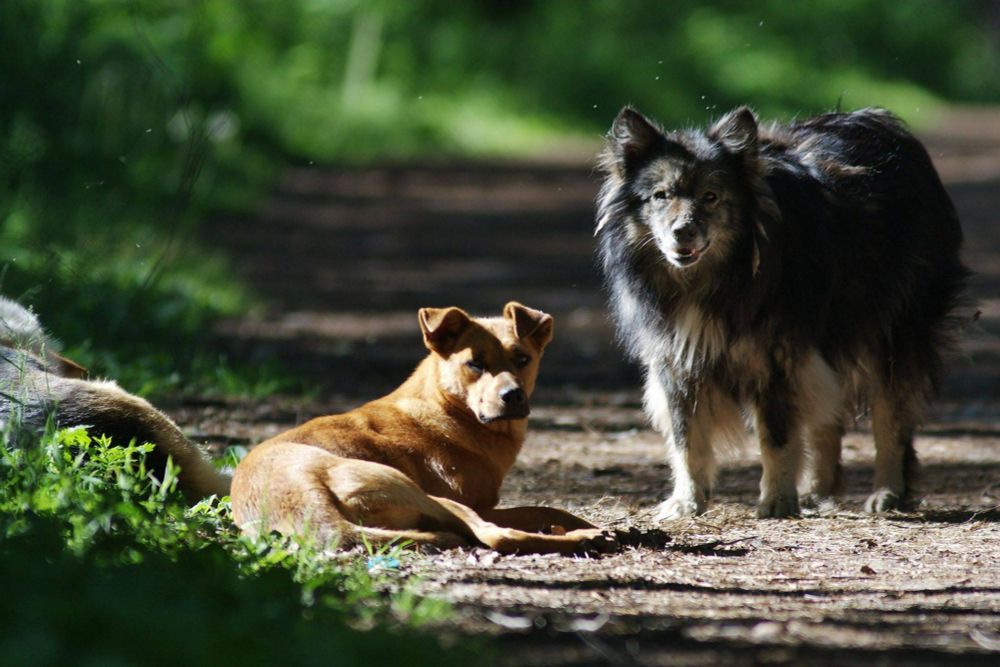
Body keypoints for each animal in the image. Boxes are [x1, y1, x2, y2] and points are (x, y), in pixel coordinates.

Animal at [231, 302, 612, 552]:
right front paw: (590, 528)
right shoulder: (478, 504)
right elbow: (542, 509)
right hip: (418, 491)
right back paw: (582, 539)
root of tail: (309, 507)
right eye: (474, 364)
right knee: (495, 536)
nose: (512, 396)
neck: (450, 410)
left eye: (522, 359)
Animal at [592, 105, 968, 520]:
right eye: (661, 195)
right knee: (828, 419)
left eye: (711, 197)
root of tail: (886, 124)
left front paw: (776, 501)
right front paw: (687, 502)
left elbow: (777, 437)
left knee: (891, 420)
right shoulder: (677, 360)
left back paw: (887, 493)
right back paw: (817, 490)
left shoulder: (776, 360)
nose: (682, 232)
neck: (714, 279)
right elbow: (686, 438)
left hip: (894, 333)